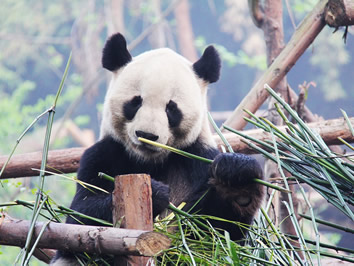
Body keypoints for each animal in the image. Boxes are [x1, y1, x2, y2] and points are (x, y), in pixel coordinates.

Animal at [51, 32, 264, 264]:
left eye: (171, 108)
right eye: (136, 102)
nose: (147, 135)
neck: (150, 161)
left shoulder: (197, 157)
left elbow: (216, 236)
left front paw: (236, 179)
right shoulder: (102, 154)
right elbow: (79, 217)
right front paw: (156, 193)